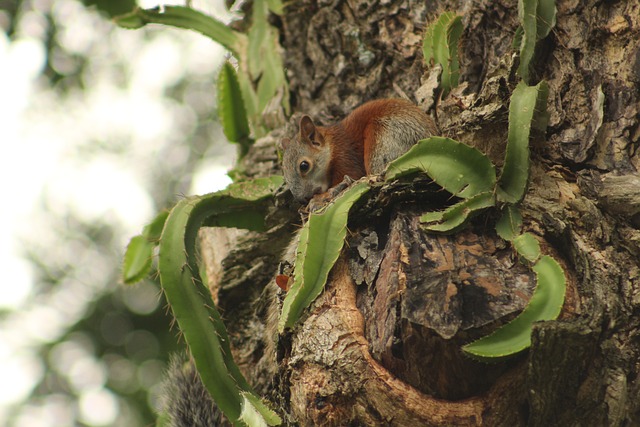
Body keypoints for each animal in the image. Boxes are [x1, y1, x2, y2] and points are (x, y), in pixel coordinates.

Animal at [278, 99, 436, 203]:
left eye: (304, 166)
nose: (302, 200)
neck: (332, 146)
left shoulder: (346, 157)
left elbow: (353, 173)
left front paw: (322, 197)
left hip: (381, 140)